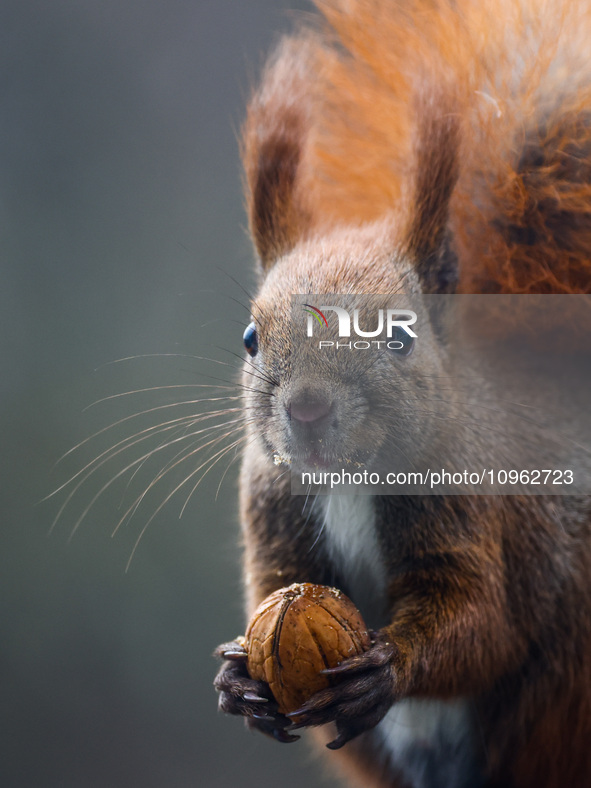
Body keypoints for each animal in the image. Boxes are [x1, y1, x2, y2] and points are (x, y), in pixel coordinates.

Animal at [213, 1, 591, 788]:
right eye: (251, 338)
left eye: (399, 339)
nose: (307, 410)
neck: (352, 483)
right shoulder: (273, 514)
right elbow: (273, 588)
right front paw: (235, 680)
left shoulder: (472, 507)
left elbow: (481, 623)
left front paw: (386, 668)